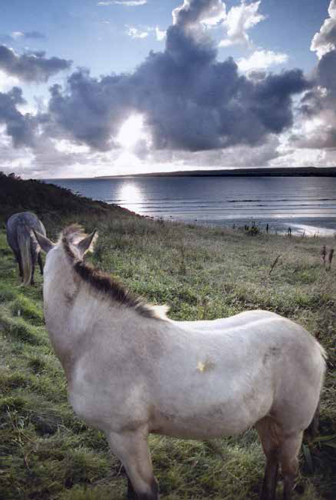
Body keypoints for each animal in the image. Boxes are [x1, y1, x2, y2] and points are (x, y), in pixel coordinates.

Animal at [34, 226, 326, 500]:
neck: (94, 338)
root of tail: (315, 346)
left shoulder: (126, 435)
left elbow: (146, 490)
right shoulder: (126, 439)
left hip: (292, 429)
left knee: (289, 471)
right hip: (266, 419)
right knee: (272, 458)